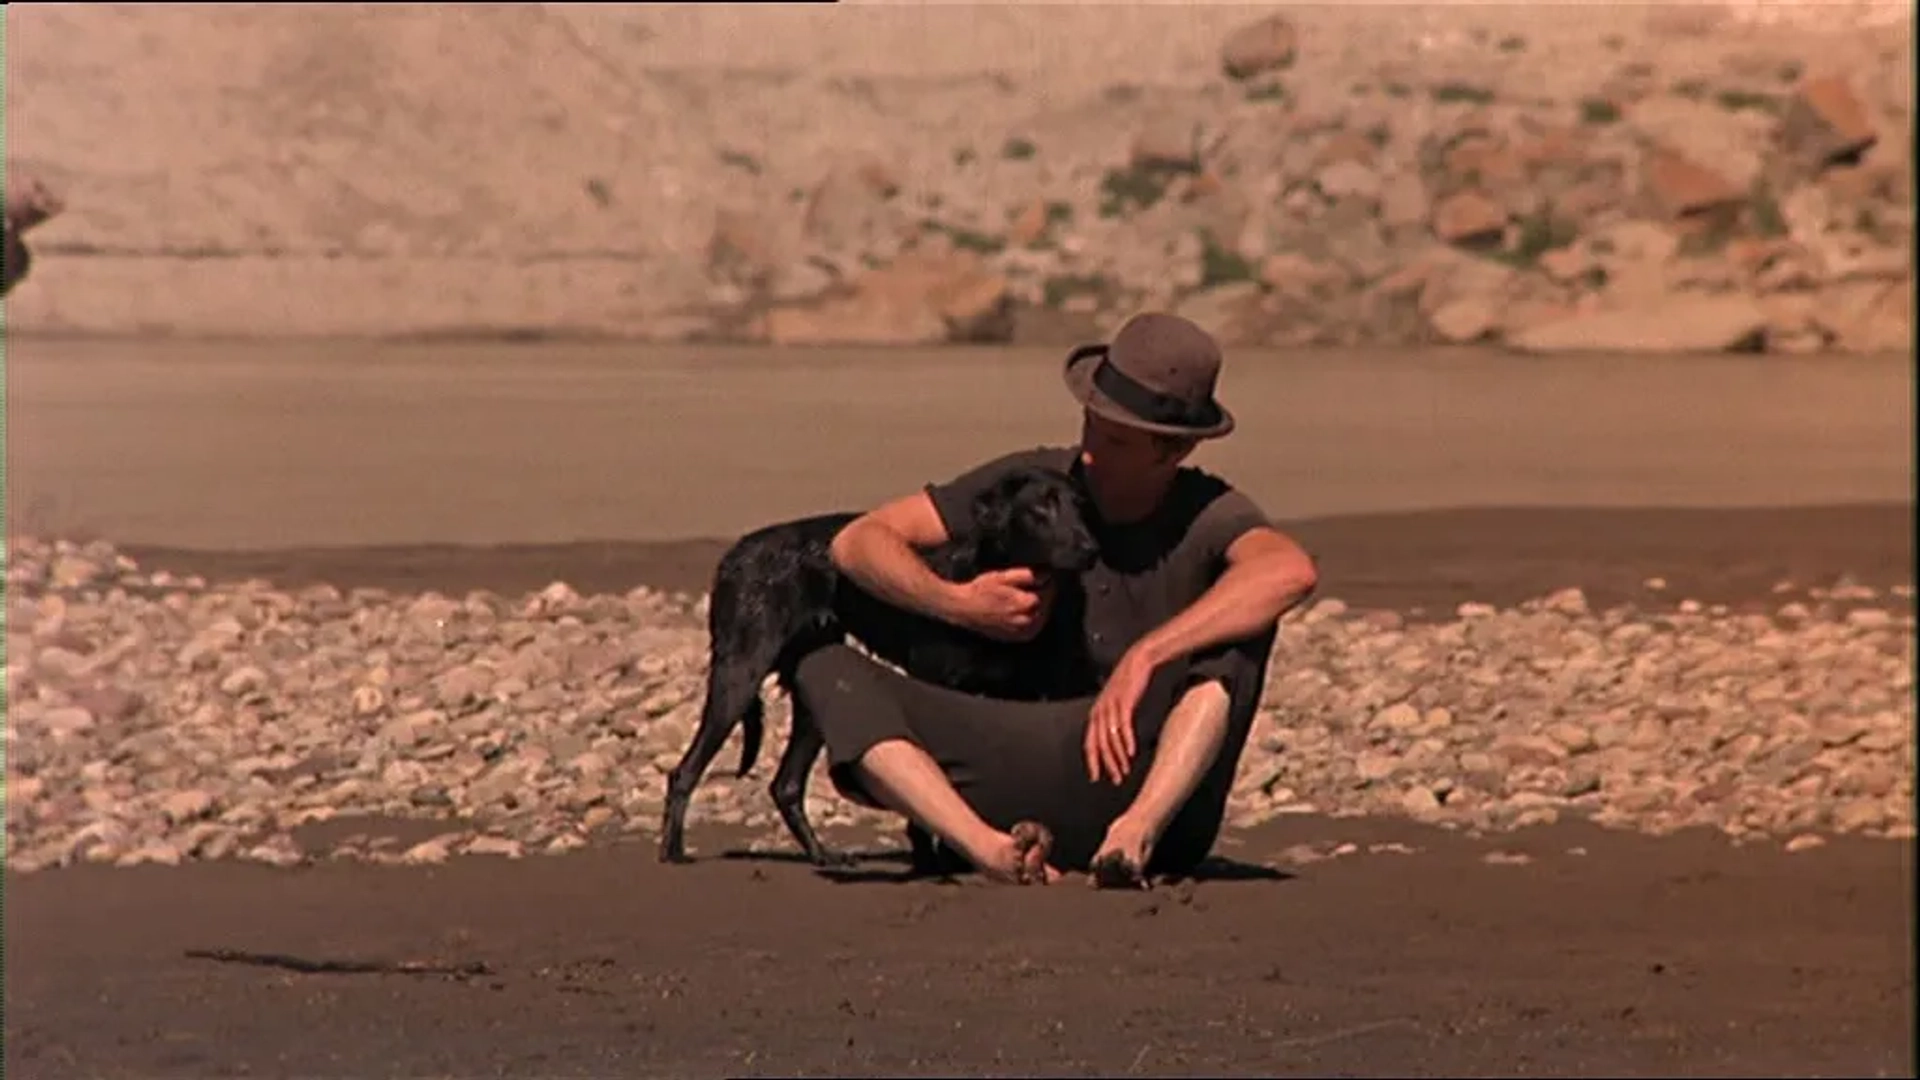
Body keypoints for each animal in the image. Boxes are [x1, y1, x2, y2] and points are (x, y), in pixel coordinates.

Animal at [664, 466, 1098, 868]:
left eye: (1081, 505)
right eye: (1041, 507)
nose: (1091, 548)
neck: (993, 570)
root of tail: (734, 553)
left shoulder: (1018, 695)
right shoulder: (934, 683)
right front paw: (929, 858)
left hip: (812, 693)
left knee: (785, 785)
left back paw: (823, 855)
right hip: (739, 675)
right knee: (684, 771)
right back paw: (673, 852)